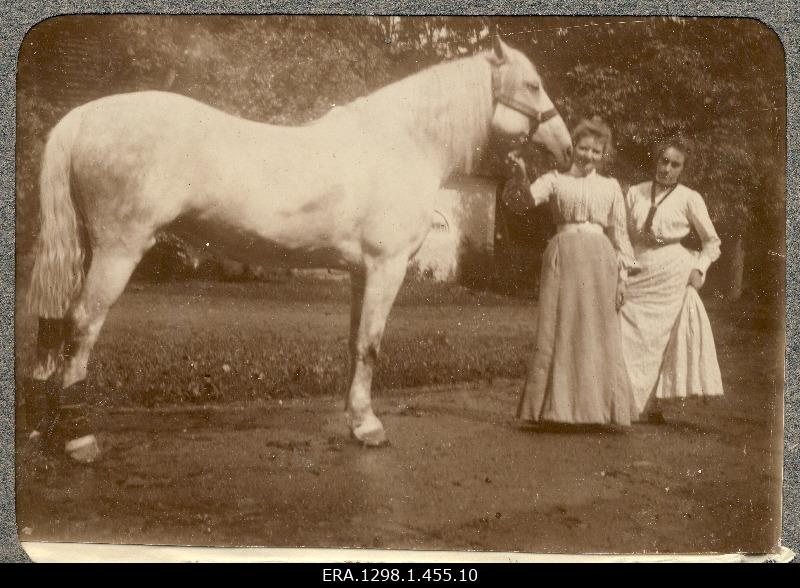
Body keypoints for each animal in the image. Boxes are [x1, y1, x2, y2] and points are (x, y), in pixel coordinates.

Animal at [25, 37, 572, 452]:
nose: (566, 149)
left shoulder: (361, 272)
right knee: (82, 327)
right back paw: (78, 439)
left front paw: (355, 418)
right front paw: (369, 427)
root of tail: (83, 117)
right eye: (532, 85)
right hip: (118, 251)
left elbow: (355, 343)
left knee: (58, 324)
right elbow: (371, 345)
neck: (400, 143)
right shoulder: (387, 266)